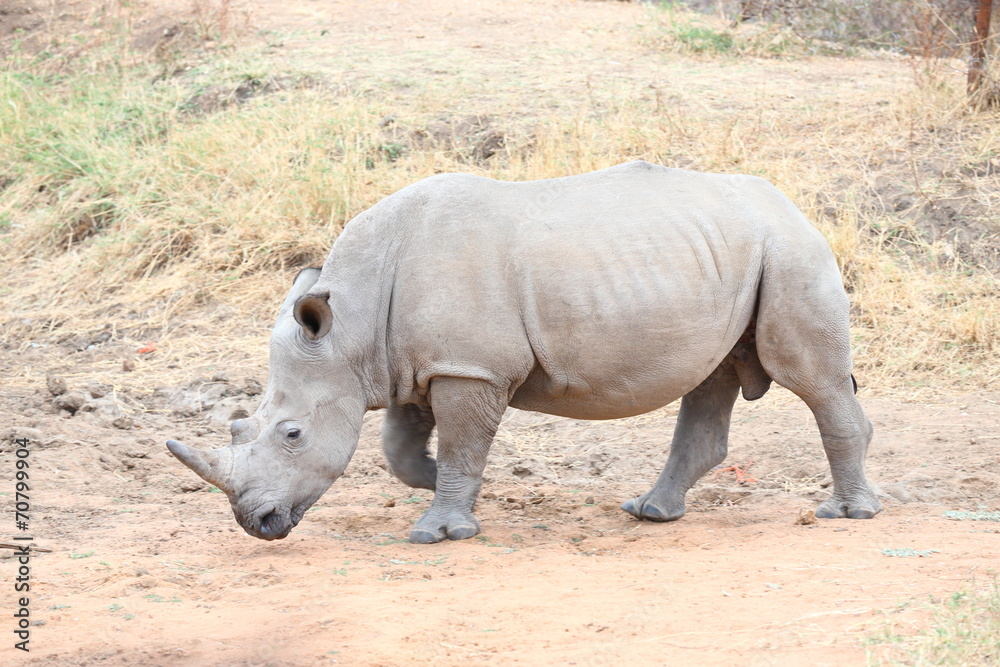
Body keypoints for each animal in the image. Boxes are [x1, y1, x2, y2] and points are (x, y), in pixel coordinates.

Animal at [166, 161, 881, 544]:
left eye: (290, 434)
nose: (255, 522)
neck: (351, 326)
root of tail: (793, 203)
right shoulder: (420, 363)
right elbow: (400, 448)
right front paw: (443, 488)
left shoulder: (469, 368)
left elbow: (461, 444)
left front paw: (438, 529)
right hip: (730, 255)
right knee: (710, 379)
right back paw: (651, 513)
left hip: (789, 251)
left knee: (811, 380)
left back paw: (847, 515)